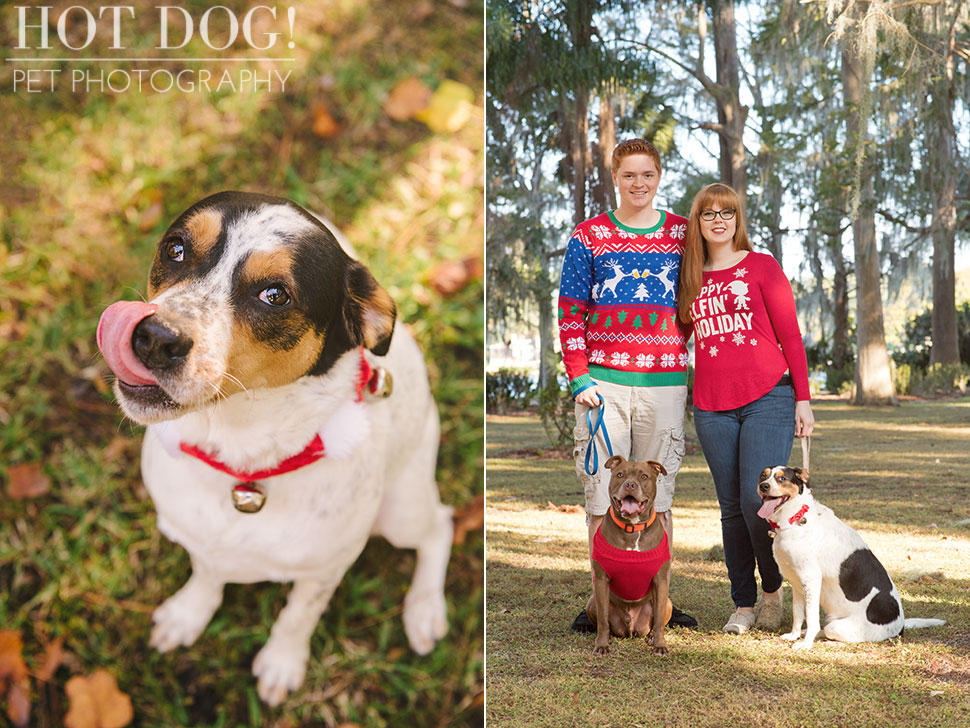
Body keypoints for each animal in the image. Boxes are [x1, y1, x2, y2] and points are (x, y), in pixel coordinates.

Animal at [584, 456, 672, 656]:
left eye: (644, 476)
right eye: (620, 474)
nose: (630, 484)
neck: (632, 528)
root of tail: (630, 629)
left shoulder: (660, 580)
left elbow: (659, 622)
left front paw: (660, 645)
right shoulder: (601, 580)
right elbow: (602, 620)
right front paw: (601, 645)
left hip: (668, 603)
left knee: (656, 622)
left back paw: (652, 637)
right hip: (592, 601)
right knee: (605, 621)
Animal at [756, 470, 936, 652]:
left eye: (782, 478)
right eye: (763, 476)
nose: (763, 486)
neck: (794, 520)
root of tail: (901, 627)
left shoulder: (811, 579)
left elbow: (811, 617)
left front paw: (806, 644)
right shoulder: (797, 582)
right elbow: (798, 613)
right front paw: (794, 635)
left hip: (838, 626)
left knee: (839, 634)